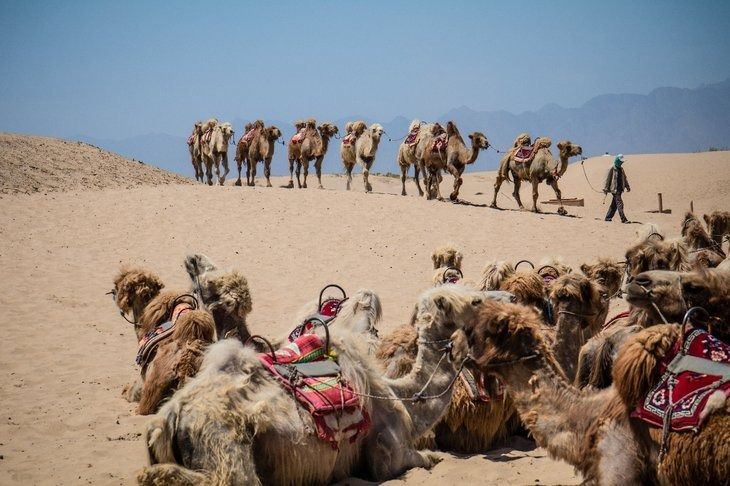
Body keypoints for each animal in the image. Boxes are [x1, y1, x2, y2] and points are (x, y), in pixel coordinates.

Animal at [136, 284, 490, 486]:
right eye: (471, 302)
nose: (489, 302)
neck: (401, 397)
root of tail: (167, 418)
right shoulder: (386, 453)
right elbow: (427, 458)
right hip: (225, 447)